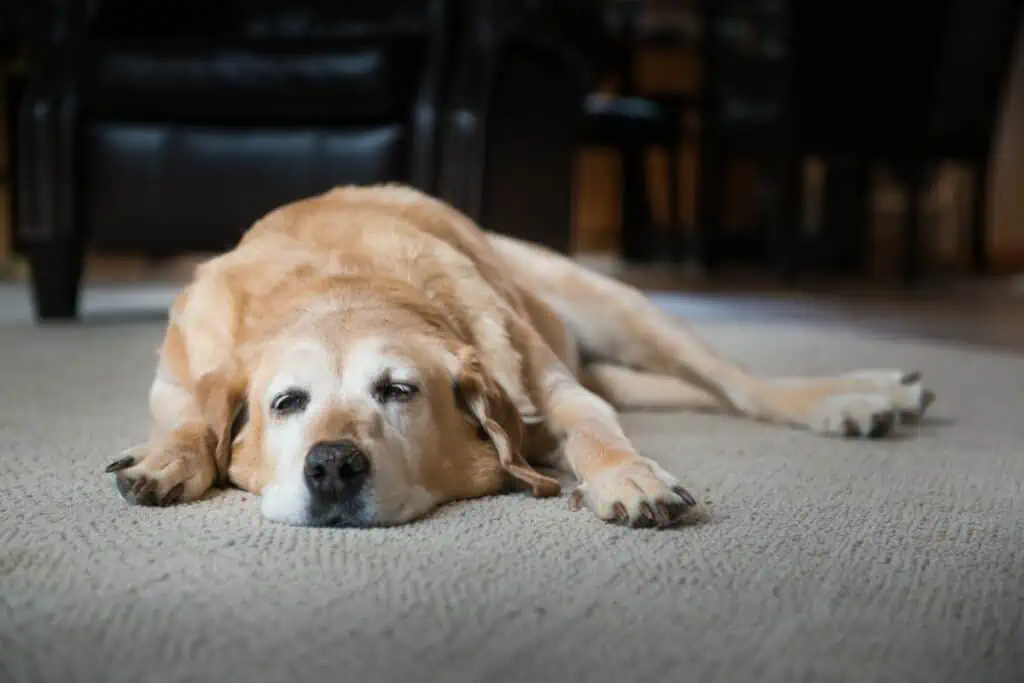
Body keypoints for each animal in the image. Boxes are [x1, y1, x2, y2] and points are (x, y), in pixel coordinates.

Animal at [105, 184, 937, 532]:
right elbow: (190, 418)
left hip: (617, 305)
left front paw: (628, 477)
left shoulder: (552, 387)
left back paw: (855, 397)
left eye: (398, 390)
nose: (333, 465)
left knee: (740, 386)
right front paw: (168, 458)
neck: (342, 282)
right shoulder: (175, 374)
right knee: (690, 392)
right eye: (287, 403)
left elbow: (594, 428)